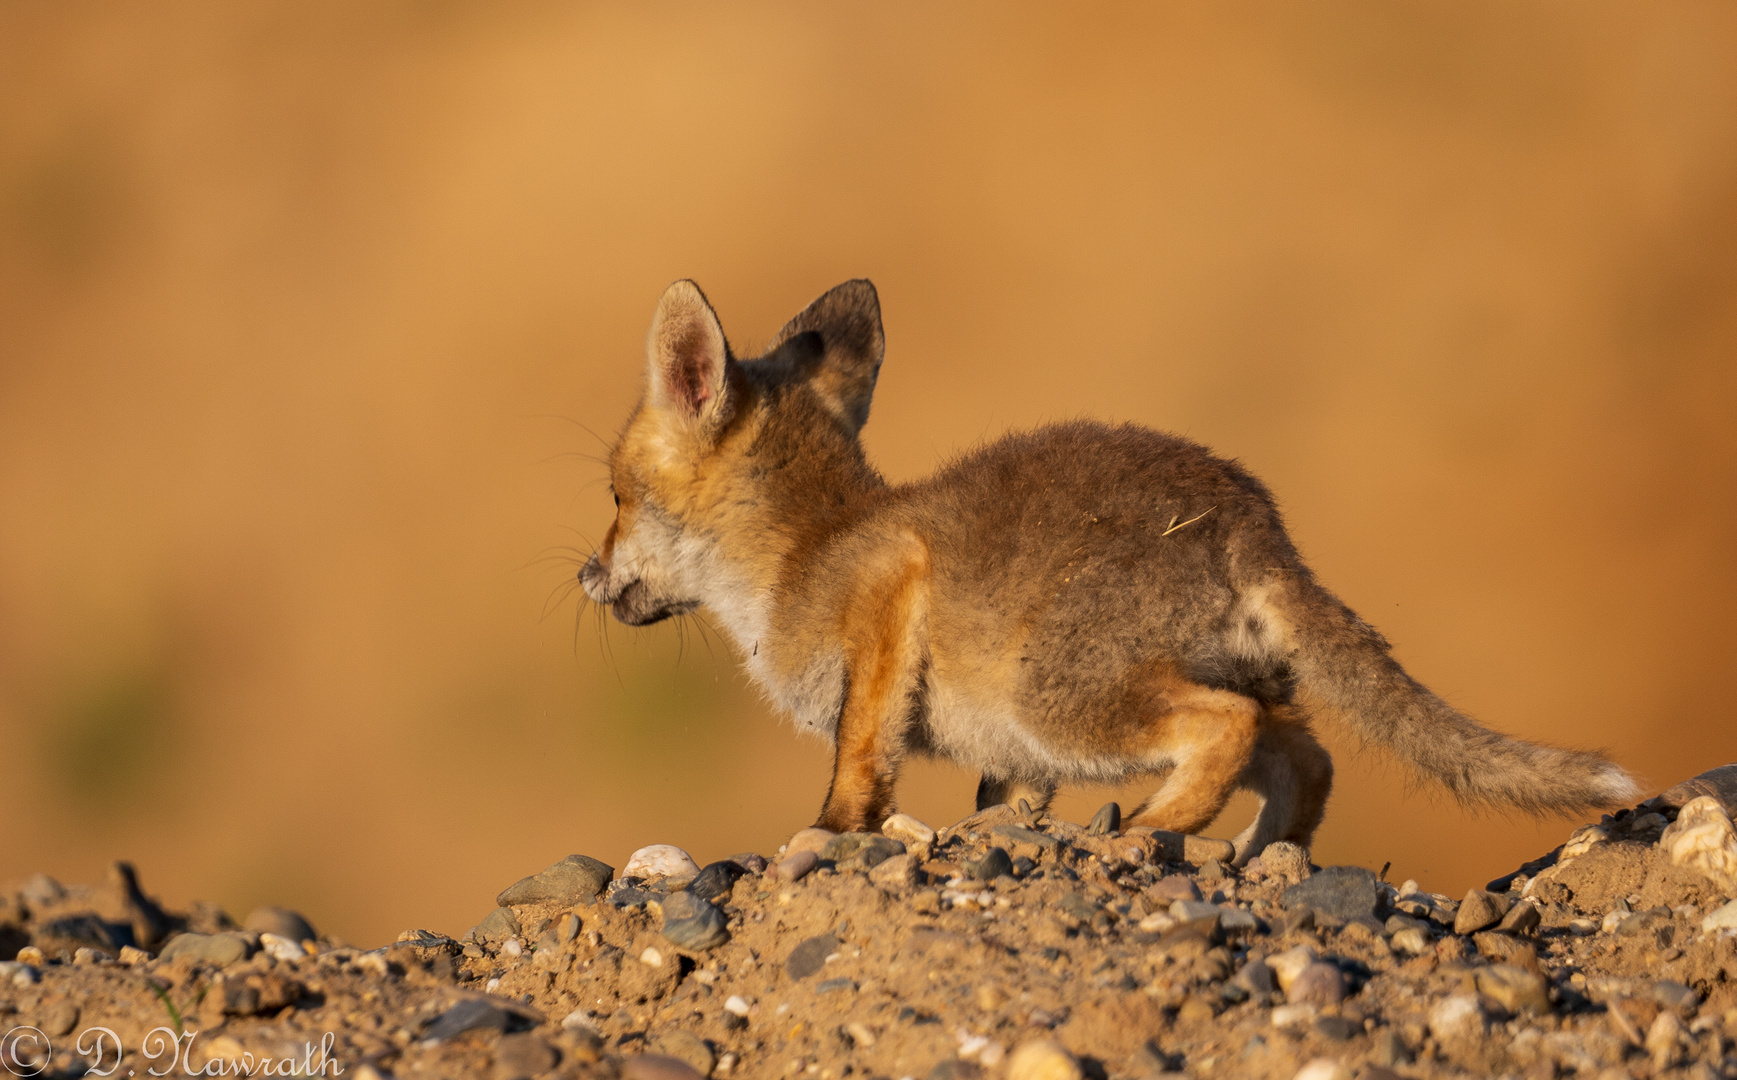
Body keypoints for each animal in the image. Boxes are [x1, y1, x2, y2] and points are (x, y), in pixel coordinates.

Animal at [583, 279, 1639, 864]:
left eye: (616, 496)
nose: (588, 577)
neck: (802, 553)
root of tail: (1251, 522)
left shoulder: (890, 594)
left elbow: (859, 759)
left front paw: (831, 830)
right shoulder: (1009, 753)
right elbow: (1003, 799)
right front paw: (997, 835)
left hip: (1059, 698)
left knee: (1230, 731)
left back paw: (1151, 830)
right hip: (1162, 694)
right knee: (1308, 757)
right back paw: (1258, 853)